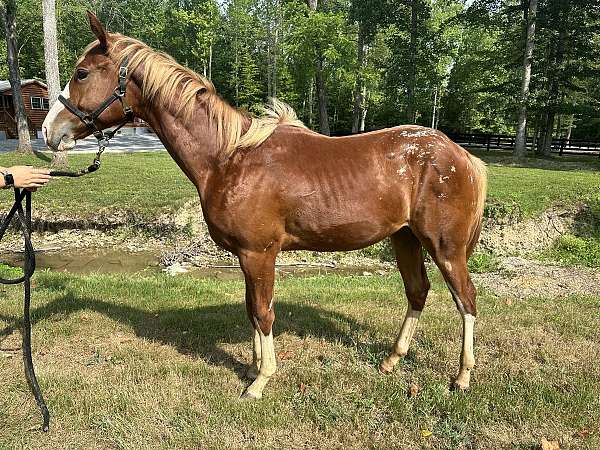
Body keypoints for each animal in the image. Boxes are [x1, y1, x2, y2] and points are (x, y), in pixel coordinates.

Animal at [43, 13, 488, 400]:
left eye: (82, 73)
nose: (49, 131)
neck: (229, 157)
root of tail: (462, 155)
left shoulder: (259, 253)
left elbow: (263, 312)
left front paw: (260, 381)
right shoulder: (245, 255)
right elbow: (251, 311)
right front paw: (255, 365)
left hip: (445, 248)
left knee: (466, 299)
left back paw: (463, 377)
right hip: (405, 239)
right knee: (418, 292)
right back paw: (392, 361)